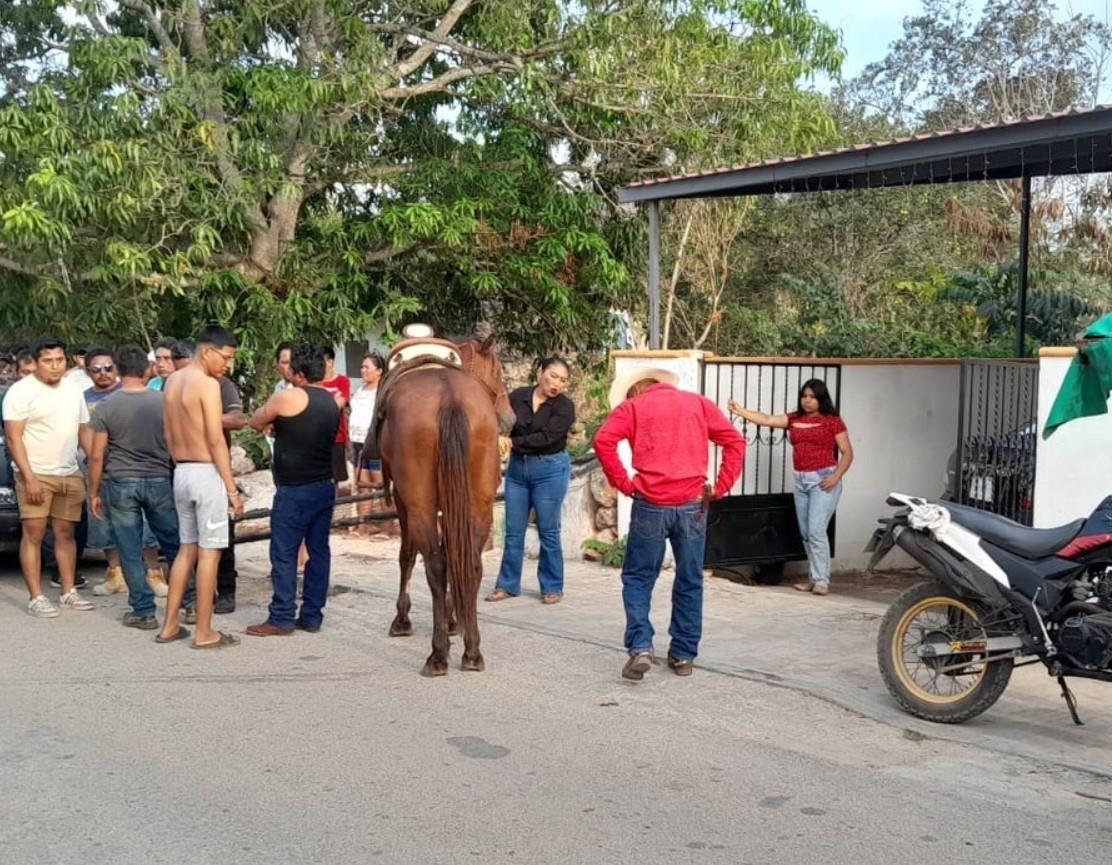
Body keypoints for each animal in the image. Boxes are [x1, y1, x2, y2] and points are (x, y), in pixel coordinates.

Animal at [373, 331, 511, 675]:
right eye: (498, 371)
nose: (511, 418)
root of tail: (449, 398)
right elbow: (453, 552)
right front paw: (454, 619)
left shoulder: (404, 500)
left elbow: (408, 555)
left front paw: (403, 618)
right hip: (479, 506)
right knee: (471, 562)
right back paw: (472, 650)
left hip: (419, 504)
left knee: (434, 565)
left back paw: (437, 654)